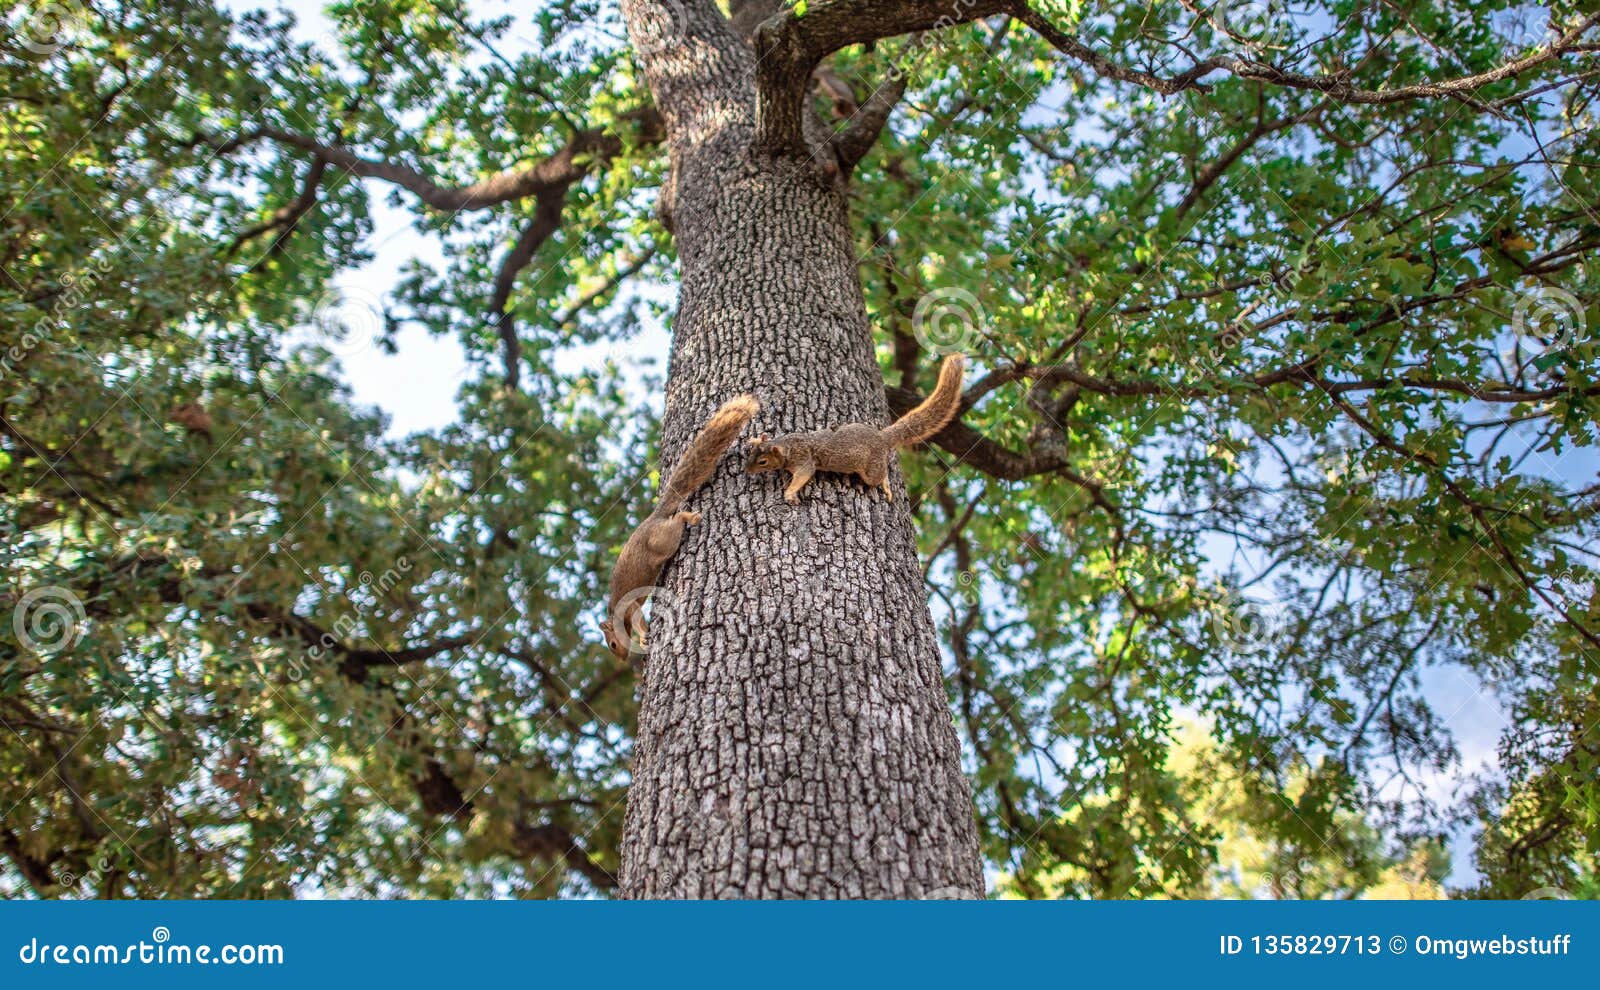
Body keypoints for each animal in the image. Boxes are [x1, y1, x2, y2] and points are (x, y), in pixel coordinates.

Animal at [600, 393, 760, 661]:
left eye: (612, 644)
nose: (622, 658)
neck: (616, 613)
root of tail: (653, 518)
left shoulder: (630, 606)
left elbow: (638, 619)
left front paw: (643, 638)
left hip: (662, 541)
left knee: (676, 522)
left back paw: (690, 517)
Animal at [745, 353, 965, 503]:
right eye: (751, 454)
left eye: (763, 462)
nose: (747, 471)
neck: (786, 446)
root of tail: (882, 438)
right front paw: (755, 438)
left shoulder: (803, 461)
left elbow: (803, 476)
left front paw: (790, 493)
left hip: (872, 469)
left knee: (879, 476)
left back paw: (886, 485)